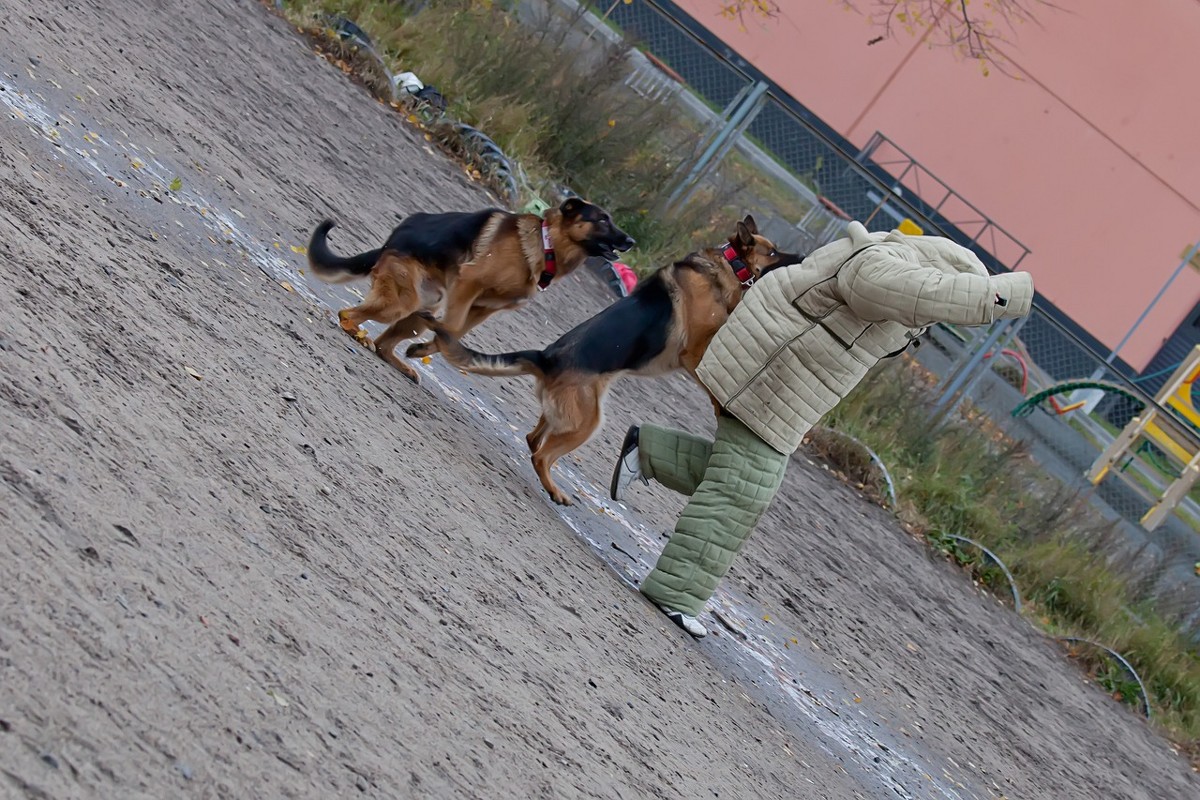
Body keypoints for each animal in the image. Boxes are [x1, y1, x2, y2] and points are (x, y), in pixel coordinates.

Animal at [304, 199, 633, 383]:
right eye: (602, 219)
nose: (630, 241)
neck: (546, 243)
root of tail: (392, 238)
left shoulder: (484, 308)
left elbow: (456, 333)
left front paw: (427, 348)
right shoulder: (468, 284)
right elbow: (451, 327)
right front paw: (434, 343)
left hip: (422, 306)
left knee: (385, 343)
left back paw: (397, 360)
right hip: (402, 302)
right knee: (349, 314)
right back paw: (355, 332)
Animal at [427, 212, 801, 501]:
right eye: (773, 251)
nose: (800, 258)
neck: (730, 265)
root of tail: (547, 357)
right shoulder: (694, 351)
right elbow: (712, 380)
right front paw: (723, 406)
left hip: (572, 412)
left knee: (535, 440)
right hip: (589, 422)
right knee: (541, 455)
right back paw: (554, 491)